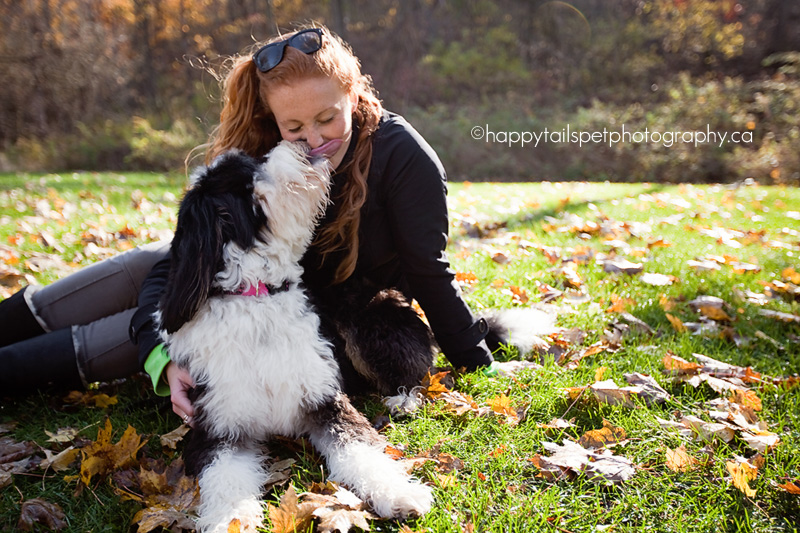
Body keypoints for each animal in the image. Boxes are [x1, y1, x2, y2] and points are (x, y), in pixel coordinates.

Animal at [152, 142, 434, 532]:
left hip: (363, 323)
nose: (301, 144)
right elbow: (225, 483)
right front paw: (231, 521)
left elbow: (363, 450)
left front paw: (398, 492)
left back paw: (403, 398)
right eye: (251, 166)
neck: (259, 297)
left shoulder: (327, 401)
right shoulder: (218, 428)